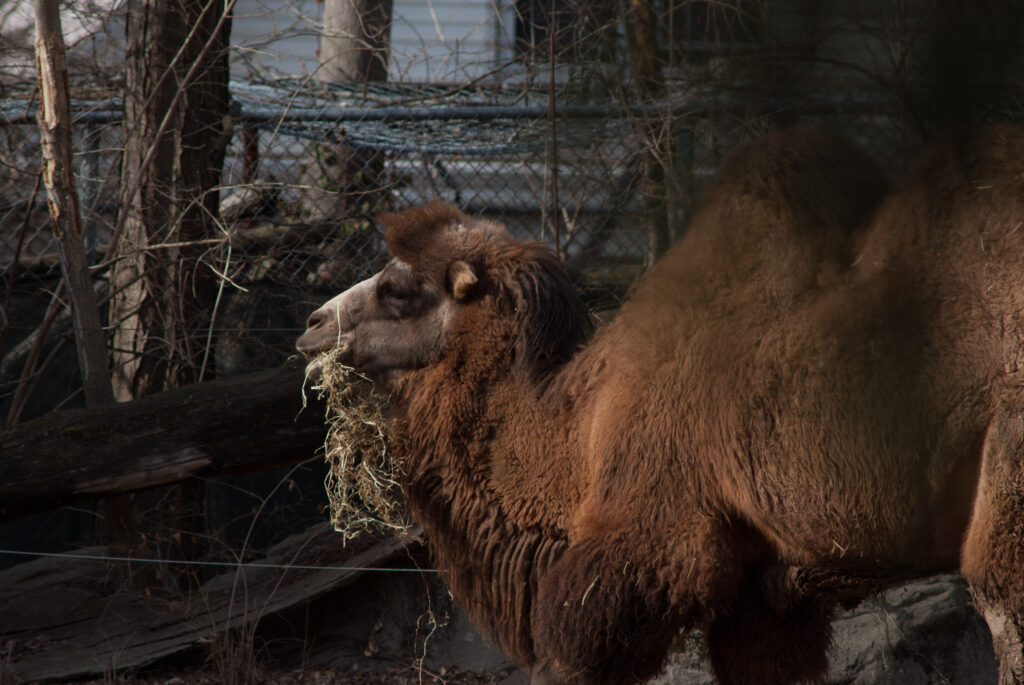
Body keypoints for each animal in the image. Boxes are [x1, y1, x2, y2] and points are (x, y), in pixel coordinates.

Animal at [296, 126, 1024, 684]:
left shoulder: (647, 543)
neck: (580, 429)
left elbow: (576, 645)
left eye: (398, 289)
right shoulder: (768, 592)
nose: (312, 323)